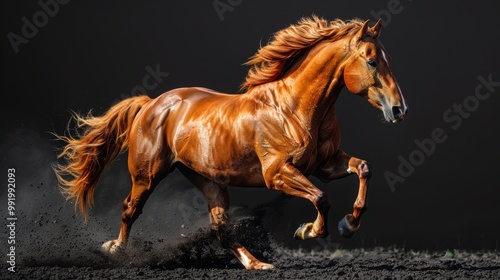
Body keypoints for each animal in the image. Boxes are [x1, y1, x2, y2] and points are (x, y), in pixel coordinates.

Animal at [54, 16, 406, 270]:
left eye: (388, 58)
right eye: (372, 61)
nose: (399, 109)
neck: (293, 108)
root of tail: (151, 103)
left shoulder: (325, 165)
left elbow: (363, 168)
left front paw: (349, 224)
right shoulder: (278, 173)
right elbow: (321, 198)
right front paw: (308, 231)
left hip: (209, 181)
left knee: (221, 227)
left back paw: (257, 264)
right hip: (147, 175)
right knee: (130, 210)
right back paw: (116, 251)